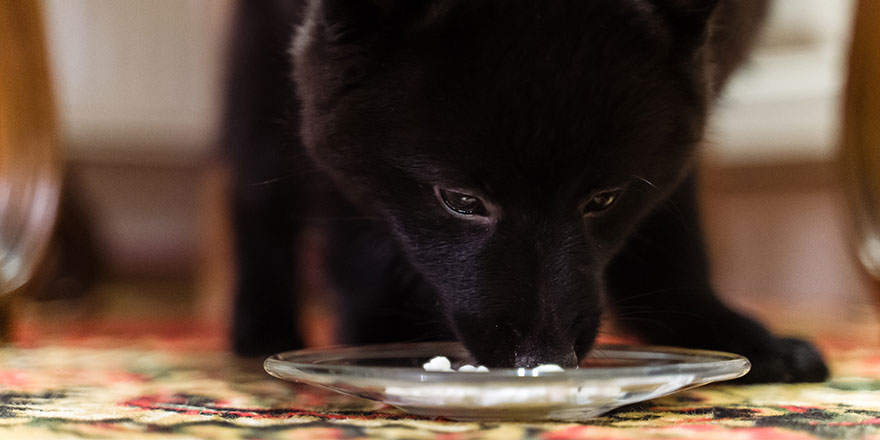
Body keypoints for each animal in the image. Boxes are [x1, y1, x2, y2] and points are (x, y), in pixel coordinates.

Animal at [223, 0, 828, 382]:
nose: (543, 358)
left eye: (603, 200)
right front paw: (384, 338)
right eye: (461, 200)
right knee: (258, 201)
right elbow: (358, 230)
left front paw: (723, 332)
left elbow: (671, 223)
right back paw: (261, 326)